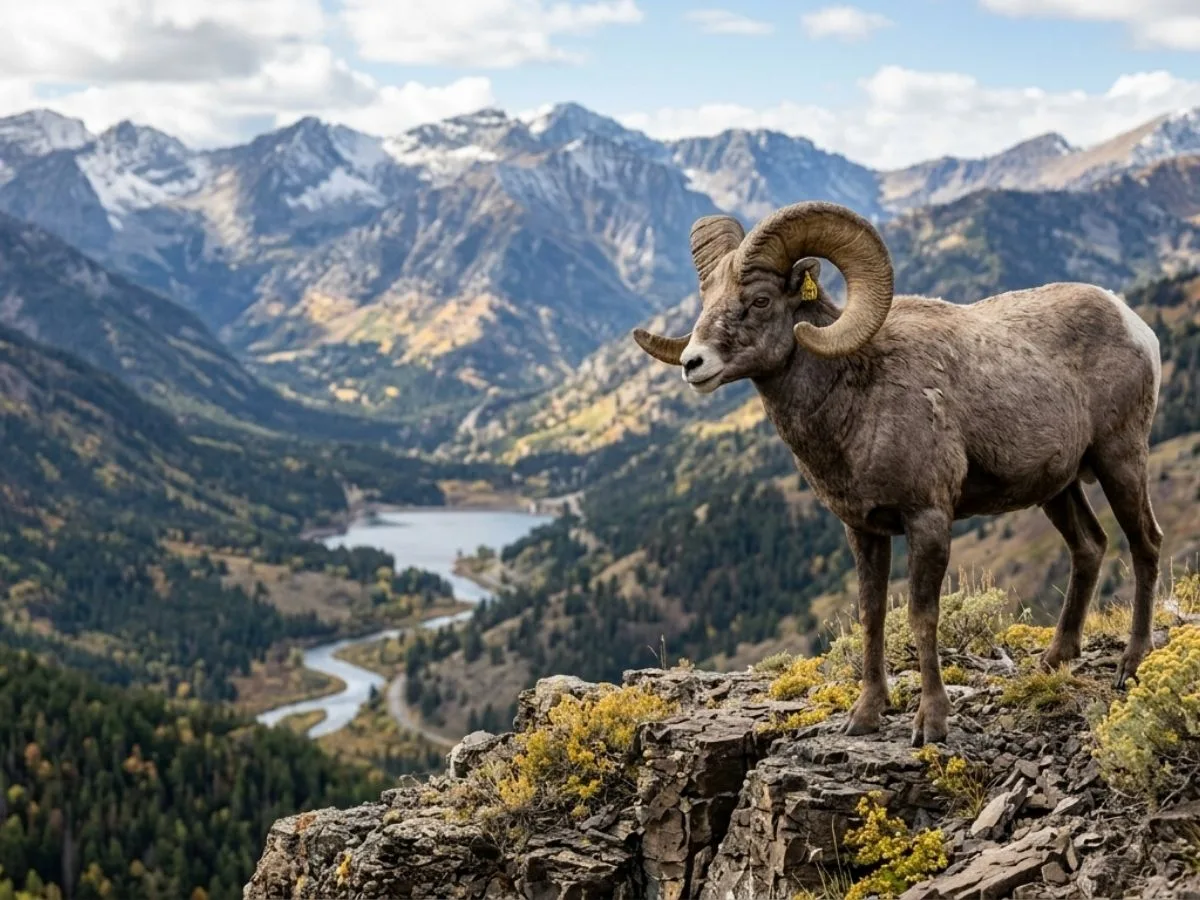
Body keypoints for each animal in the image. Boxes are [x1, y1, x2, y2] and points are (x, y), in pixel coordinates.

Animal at [632, 200, 1163, 746]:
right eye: (707, 298)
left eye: (760, 300)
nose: (694, 364)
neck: (858, 396)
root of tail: (1133, 323)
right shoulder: (864, 530)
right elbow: (872, 615)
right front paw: (866, 715)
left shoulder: (927, 519)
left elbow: (921, 615)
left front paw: (930, 723)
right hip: (1058, 488)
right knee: (1090, 547)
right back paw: (1055, 659)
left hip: (1120, 460)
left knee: (1145, 543)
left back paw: (1132, 663)